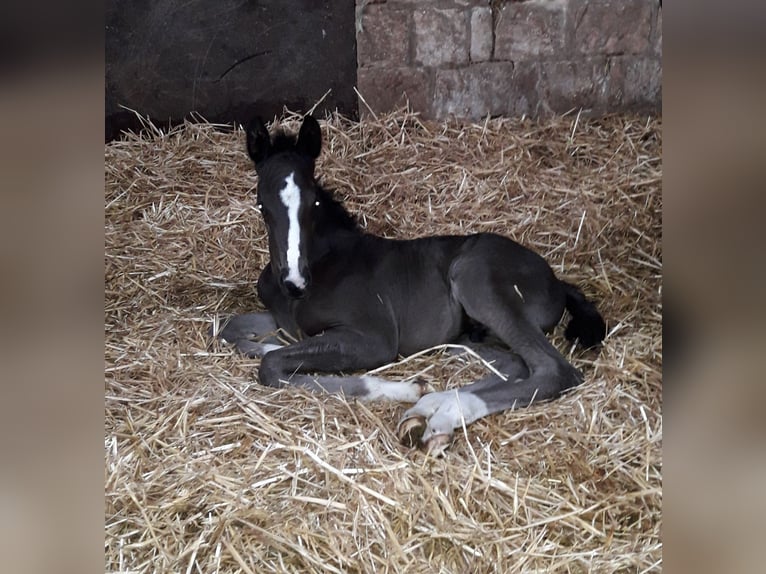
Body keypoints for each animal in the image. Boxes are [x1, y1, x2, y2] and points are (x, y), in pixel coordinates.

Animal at [214, 116, 608, 454]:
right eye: (262, 205)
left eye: (313, 202)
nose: (295, 281)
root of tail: (556, 280)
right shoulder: (285, 322)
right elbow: (229, 331)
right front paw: (266, 344)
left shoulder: (374, 337)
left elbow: (273, 366)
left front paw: (403, 388)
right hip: (470, 336)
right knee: (515, 364)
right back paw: (431, 410)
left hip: (474, 277)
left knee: (553, 370)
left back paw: (440, 417)